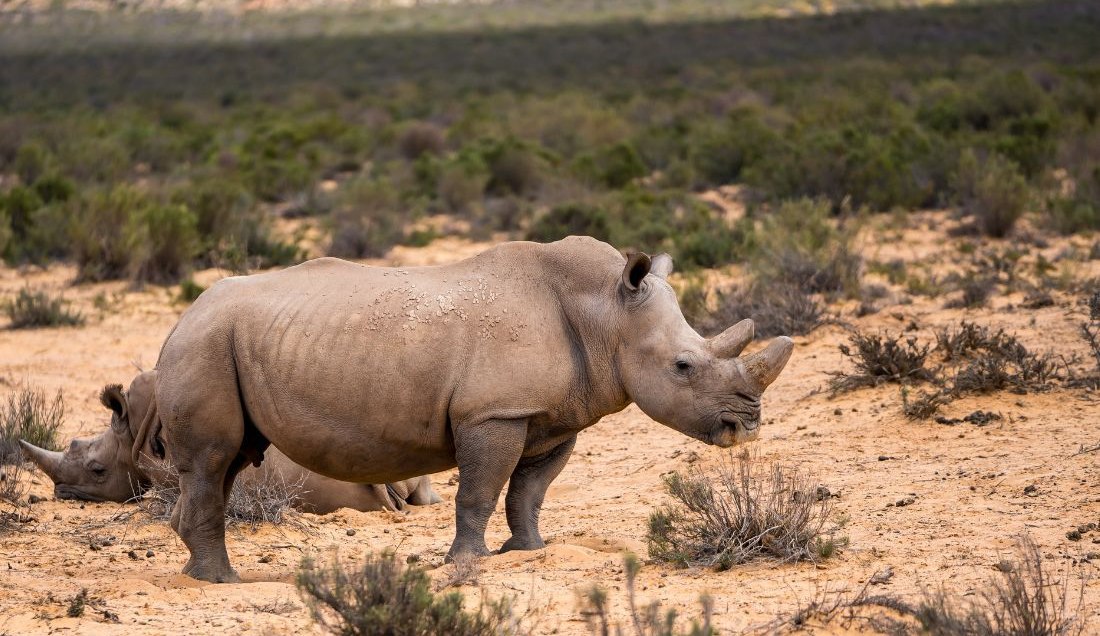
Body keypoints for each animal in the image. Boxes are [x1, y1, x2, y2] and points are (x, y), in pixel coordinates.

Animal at [152, 237, 793, 582]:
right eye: (684, 366)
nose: (746, 426)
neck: (607, 314)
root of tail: (182, 316)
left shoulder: (551, 418)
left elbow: (528, 492)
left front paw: (528, 551)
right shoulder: (493, 414)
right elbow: (480, 491)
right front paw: (465, 562)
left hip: (223, 341)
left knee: (230, 461)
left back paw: (195, 571)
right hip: (205, 343)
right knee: (212, 462)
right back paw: (223, 581)